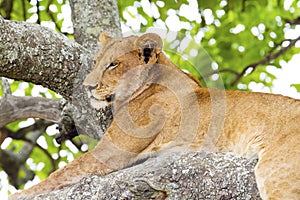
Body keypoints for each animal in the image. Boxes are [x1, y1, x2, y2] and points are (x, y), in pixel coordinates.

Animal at [9, 32, 300, 199]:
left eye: (113, 64)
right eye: (95, 62)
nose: (88, 86)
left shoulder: (111, 151)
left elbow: (61, 174)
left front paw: (18, 195)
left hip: (276, 171)